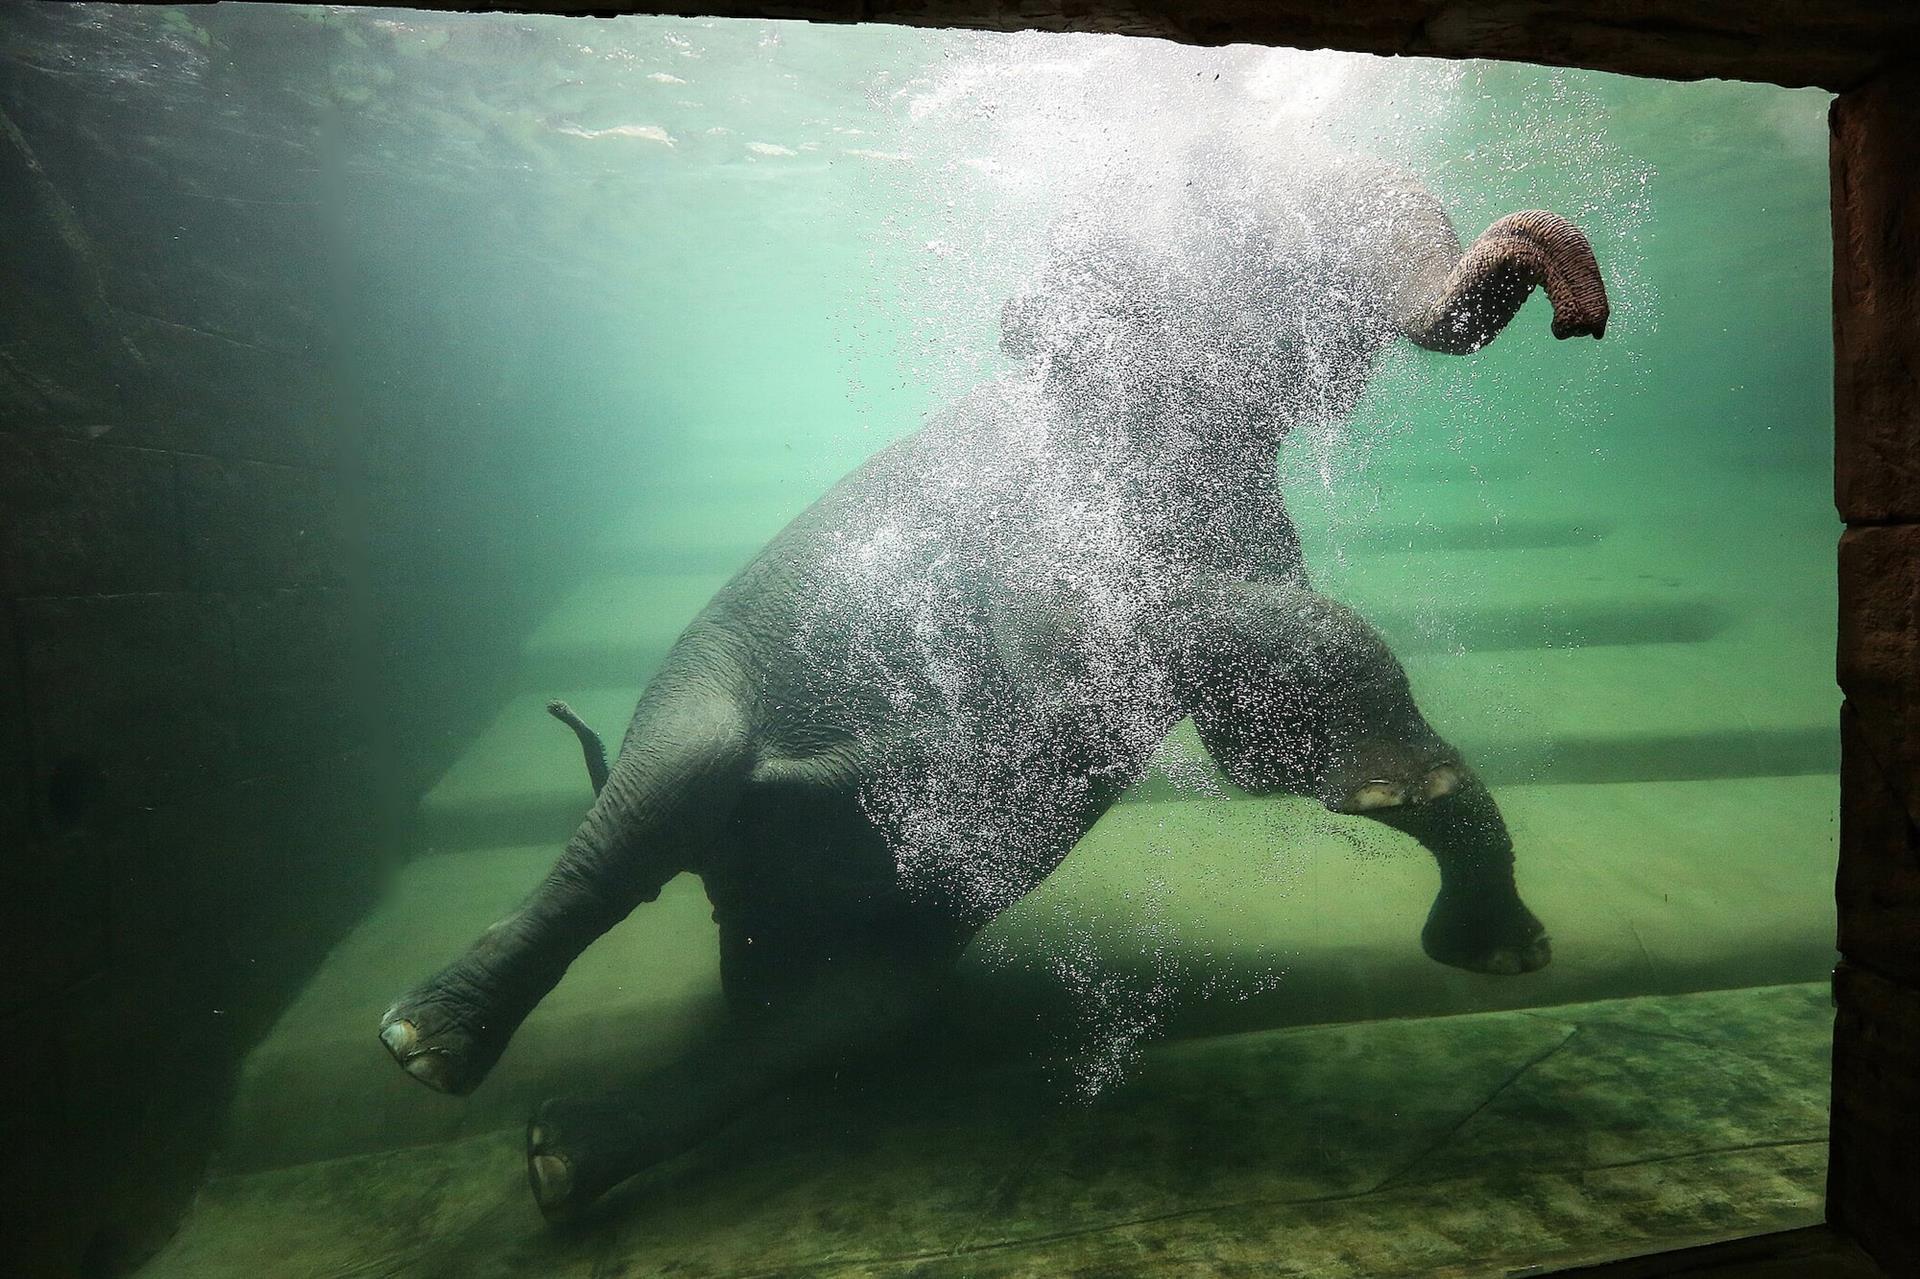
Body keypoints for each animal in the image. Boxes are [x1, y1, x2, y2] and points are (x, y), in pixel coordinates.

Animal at [374, 137, 1605, 1213]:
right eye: (1234, 216)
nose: (1580, 311)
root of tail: (741, 912)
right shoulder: (1044, 532)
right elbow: (1134, 636)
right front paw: (1411, 790)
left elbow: (1259, 741)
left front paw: (1470, 899)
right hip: (699, 686)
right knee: (662, 803)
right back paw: (425, 1049)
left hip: (892, 933)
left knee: (844, 1014)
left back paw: (558, 1157)